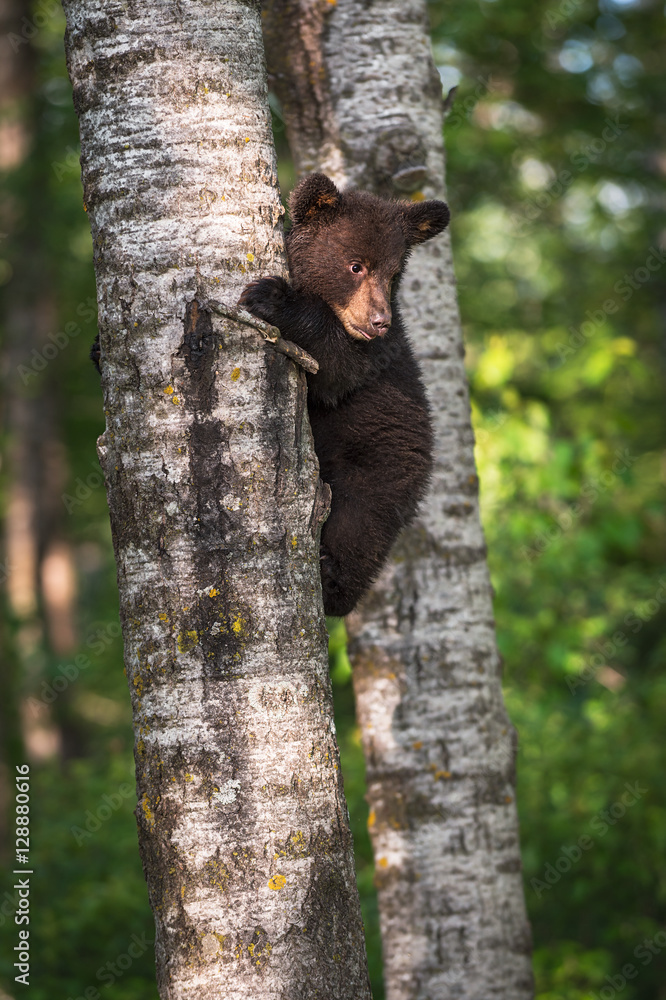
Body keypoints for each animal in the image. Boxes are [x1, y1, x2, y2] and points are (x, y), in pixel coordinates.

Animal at [239, 173, 450, 617]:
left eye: (393, 273)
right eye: (356, 266)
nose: (379, 320)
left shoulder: (373, 358)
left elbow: (334, 369)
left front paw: (273, 298)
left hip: (376, 475)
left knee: (359, 528)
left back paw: (332, 580)